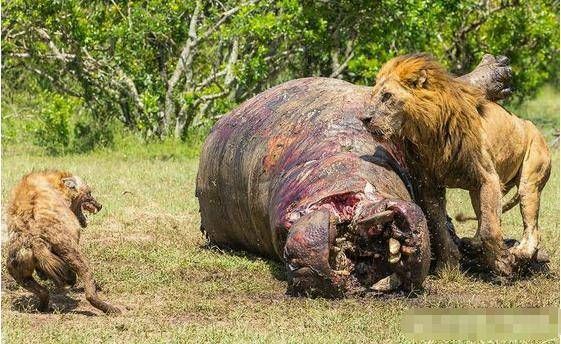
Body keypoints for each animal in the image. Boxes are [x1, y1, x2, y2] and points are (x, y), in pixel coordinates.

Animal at [6, 171, 120, 314]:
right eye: (89, 193)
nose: (100, 206)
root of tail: (34, 239)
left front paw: (46, 275)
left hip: (16, 269)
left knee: (43, 291)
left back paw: (43, 308)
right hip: (72, 252)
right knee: (87, 283)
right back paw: (111, 308)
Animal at [358, 53, 552, 276]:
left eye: (387, 96)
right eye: (374, 95)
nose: (363, 118)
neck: (427, 133)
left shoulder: (488, 178)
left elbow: (490, 229)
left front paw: (503, 263)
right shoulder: (429, 185)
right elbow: (439, 228)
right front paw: (448, 265)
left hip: (529, 180)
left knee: (531, 229)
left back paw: (520, 253)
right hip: (477, 191)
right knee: (485, 217)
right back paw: (474, 244)